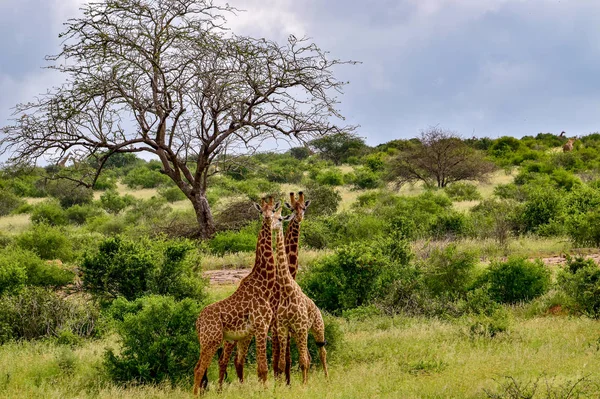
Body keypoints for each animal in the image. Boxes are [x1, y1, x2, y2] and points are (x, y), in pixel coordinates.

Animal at [192, 198, 278, 396]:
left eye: (273, 210)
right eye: (261, 211)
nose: (268, 218)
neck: (265, 284)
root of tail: (198, 321)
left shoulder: (254, 331)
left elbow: (254, 366)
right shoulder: (261, 326)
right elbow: (263, 367)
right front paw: (266, 391)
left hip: (206, 341)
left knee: (198, 367)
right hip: (212, 340)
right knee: (200, 368)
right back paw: (195, 395)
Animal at [274, 206, 328, 384]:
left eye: (280, 219)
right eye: (269, 216)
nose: (272, 226)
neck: (287, 289)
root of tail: (317, 308)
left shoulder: (300, 326)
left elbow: (303, 360)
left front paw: (304, 385)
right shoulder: (283, 328)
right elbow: (282, 363)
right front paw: (279, 386)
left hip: (317, 327)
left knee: (321, 352)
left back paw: (327, 378)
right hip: (299, 333)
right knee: (309, 356)